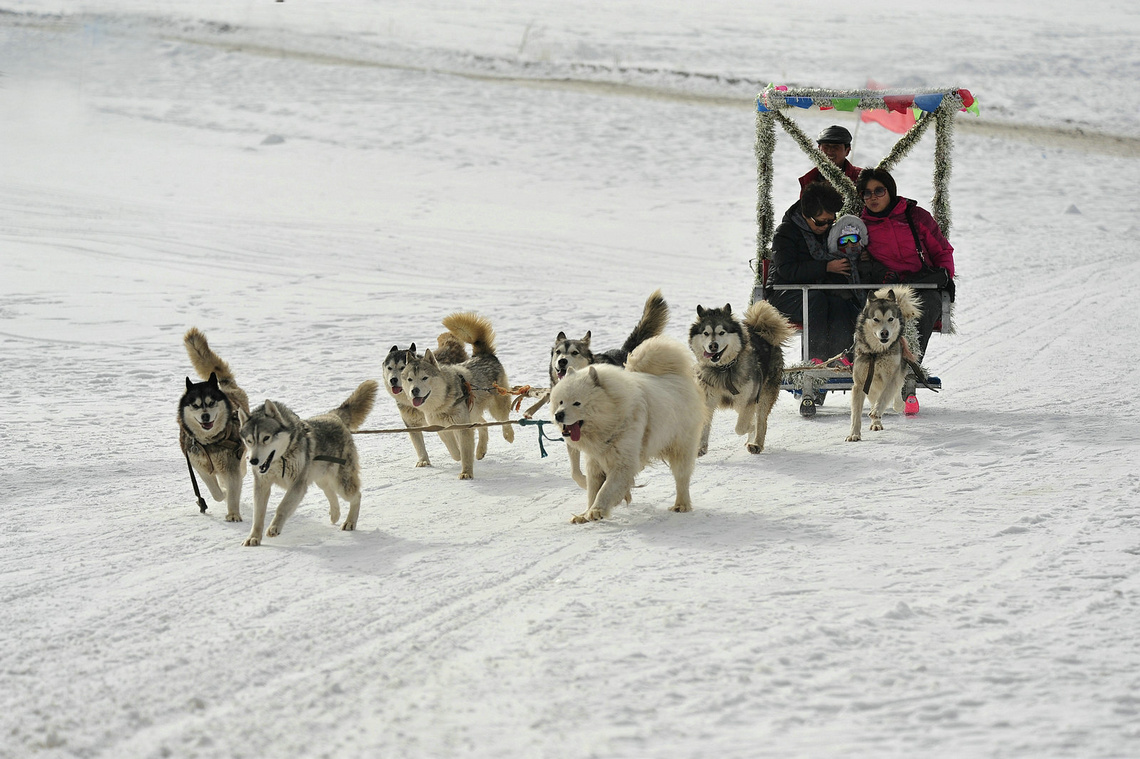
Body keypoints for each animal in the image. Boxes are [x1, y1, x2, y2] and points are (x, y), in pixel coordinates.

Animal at [549, 335, 706, 519]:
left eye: (577, 403)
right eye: (560, 402)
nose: (558, 415)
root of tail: (675, 375)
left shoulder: (623, 463)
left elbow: (605, 490)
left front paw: (597, 511)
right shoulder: (595, 462)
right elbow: (593, 490)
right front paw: (585, 513)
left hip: (681, 446)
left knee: (682, 478)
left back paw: (681, 505)